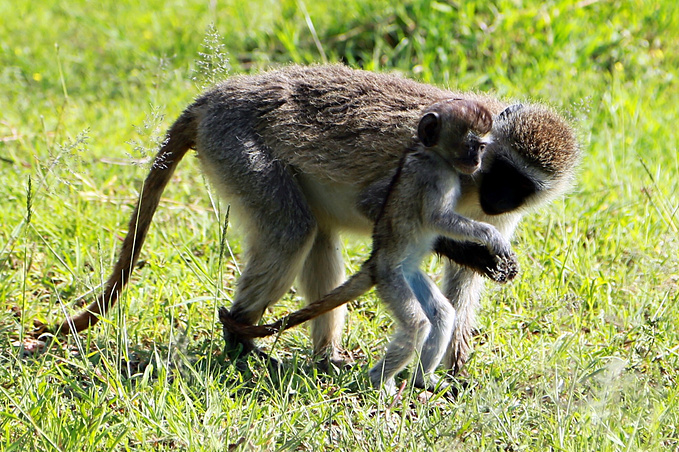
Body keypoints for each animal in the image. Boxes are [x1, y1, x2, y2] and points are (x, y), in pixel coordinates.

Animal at [220, 100, 516, 392]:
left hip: (408, 274)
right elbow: (437, 219)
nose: (476, 162)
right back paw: (378, 382)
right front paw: (492, 237)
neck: (433, 155)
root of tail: (375, 260)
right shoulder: (435, 177)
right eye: (471, 146)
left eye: (482, 148)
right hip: (390, 277)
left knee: (441, 314)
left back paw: (422, 380)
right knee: (417, 325)